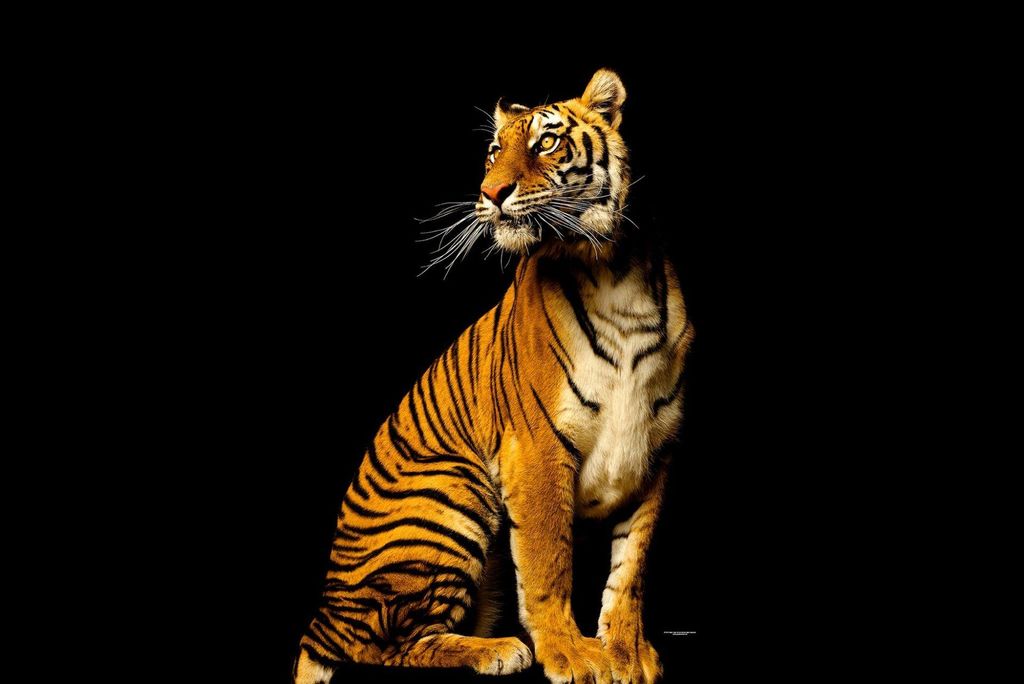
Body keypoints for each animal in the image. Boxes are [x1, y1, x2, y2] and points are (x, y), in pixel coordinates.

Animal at [295, 69, 693, 684]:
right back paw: (497, 650)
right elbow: (549, 562)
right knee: (382, 646)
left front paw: (627, 652)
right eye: (492, 152)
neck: (613, 269)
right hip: (455, 488)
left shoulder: (654, 451)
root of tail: (327, 609)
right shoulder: (537, 447)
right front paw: (572, 654)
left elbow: (631, 568)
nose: (490, 193)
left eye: (546, 142)